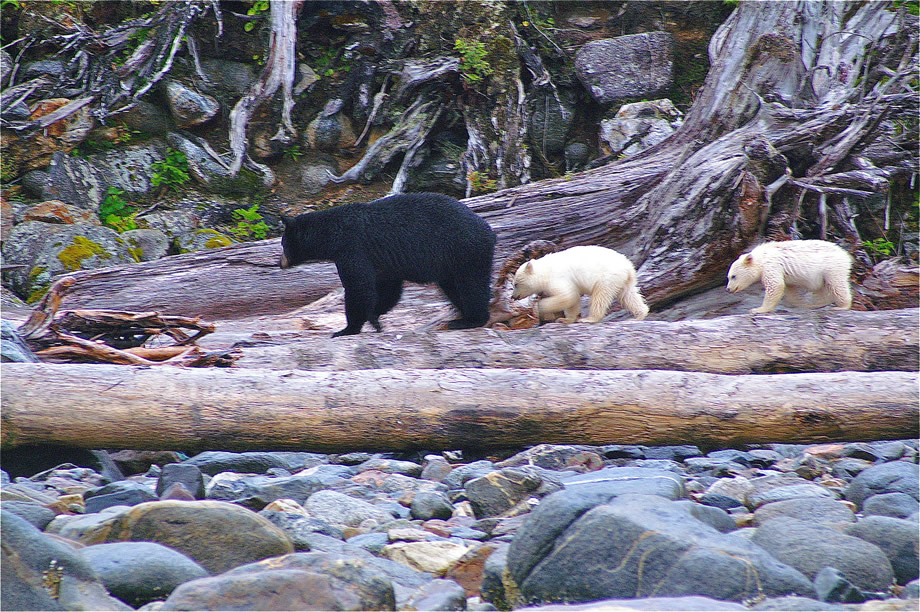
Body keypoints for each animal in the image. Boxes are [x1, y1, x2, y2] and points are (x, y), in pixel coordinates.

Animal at [278, 192, 496, 338]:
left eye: (283, 244)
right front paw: (374, 318)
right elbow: (387, 289)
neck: (331, 233)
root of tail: (488, 230)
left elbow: (358, 287)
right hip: (451, 263)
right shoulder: (384, 261)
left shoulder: (352, 248)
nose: (279, 263)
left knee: (471, 285)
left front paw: (346, 329)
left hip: (464, 251)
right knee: (454, 287)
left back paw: (469, 320)